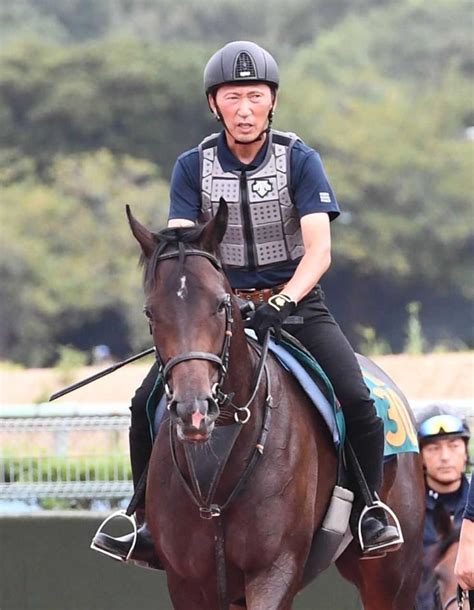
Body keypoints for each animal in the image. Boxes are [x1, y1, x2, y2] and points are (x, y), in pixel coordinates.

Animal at [126, 202, 426, 604]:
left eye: (221, 304)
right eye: (151, 313)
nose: (194, 411)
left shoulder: (273, 570)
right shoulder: (187, 582)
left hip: (392, 576)